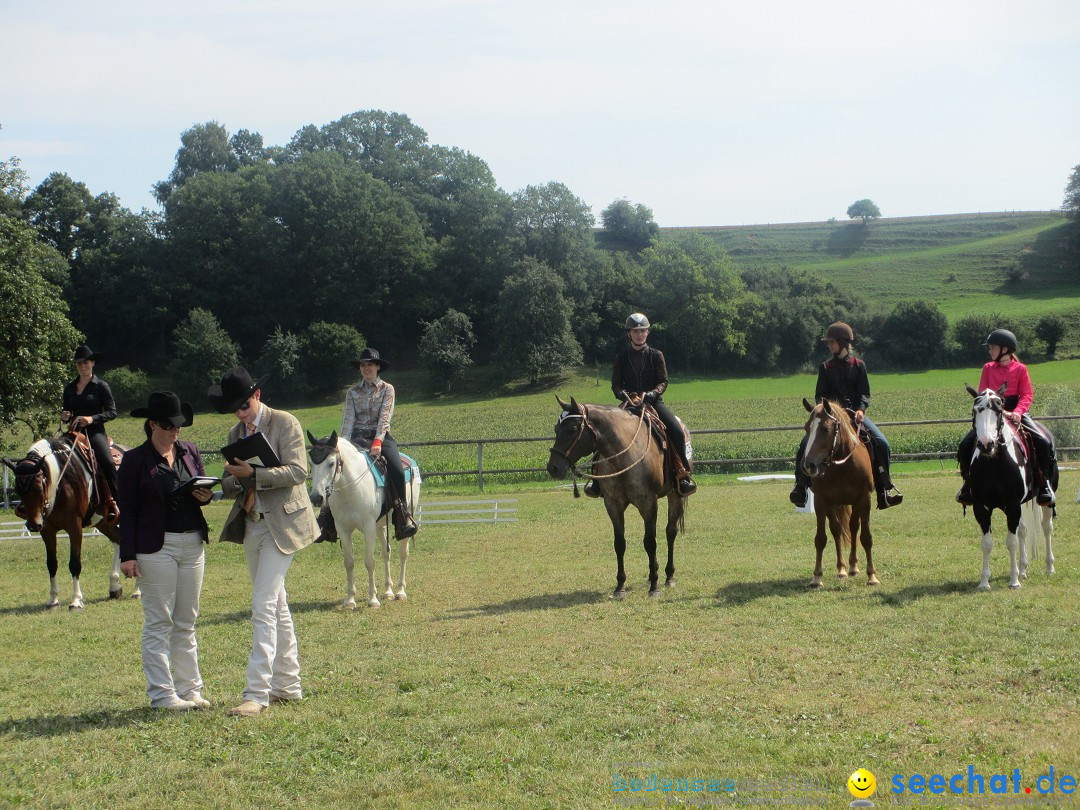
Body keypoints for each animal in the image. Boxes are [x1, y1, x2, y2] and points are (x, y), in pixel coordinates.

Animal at [3, 432, 128, 609]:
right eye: (18, 490)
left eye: (39, 488)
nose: (33, 525)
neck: (61, 482)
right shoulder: (47, 530)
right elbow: (51, 563)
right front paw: (53, 600)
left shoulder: (74, 527)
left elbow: (74, 563)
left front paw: (76, 600)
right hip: (104, 522)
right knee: (118, 540)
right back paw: (114, 586)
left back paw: (137, 591)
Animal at [308, 432, 421, 609]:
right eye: (311, 463)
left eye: (331, 463)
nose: (316, 498)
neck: (351, 487)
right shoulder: (343, 528)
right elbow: (349, 562)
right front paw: (349, 600)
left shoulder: (368, 527)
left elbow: (369, 562)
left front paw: (372, 600)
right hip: (380, 526)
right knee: (386, 553)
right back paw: (388, 591)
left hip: (408, 515)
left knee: (403, 553)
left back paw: (400, 592)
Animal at [544, 397, 686, 600]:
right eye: (556, 429)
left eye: (572, 428)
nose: (553, 467)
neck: (625, 455)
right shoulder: (612, 504)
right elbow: (619, 544)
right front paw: (620, 587)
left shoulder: (648, 503)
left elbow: (650, 542)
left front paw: (654, 587)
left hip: (676, 495)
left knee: (670, 532)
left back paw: (669, 577)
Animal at [803, 399, 876, 591]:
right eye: (806, 428)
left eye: (825, 429)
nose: (809, 465)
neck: (843, 466)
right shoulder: (821, 501)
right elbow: (820, 539)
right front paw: (817, 577)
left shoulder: (864, 499)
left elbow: (866, 537)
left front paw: (872, 576)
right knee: (836, 529)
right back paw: (842, 569)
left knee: (853, 527)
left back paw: (853, 567)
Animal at [963, 384, 1054, 591]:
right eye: (975, 411)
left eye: (998, 411)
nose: (986, 444)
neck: (994, 463)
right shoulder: (981, 508)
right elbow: (986, 543)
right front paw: (984, 582)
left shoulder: (1012, 506)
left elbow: (1011, 542)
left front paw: (1014, 581)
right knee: (1023, 531)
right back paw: (1023, 569)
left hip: (1047, 501)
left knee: (1046, 527)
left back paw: (1049, 567)